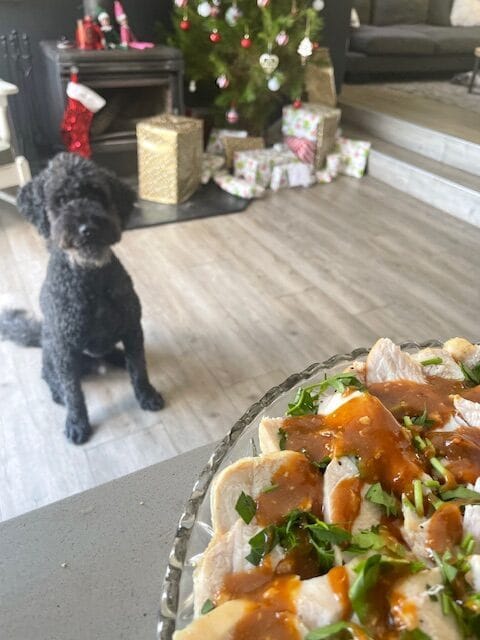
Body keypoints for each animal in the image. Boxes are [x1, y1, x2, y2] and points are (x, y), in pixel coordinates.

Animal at [0, 152, 164, 444]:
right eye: (60, 200)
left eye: (98, 194)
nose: (87, 228)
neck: (89, 278)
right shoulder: (65, 348)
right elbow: (74, 392)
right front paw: (76, 423)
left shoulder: (132, 329)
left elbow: (139, 367)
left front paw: (146, 395)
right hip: (53, 349)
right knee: (50, 376)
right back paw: (57, 393)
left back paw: (118, 359)